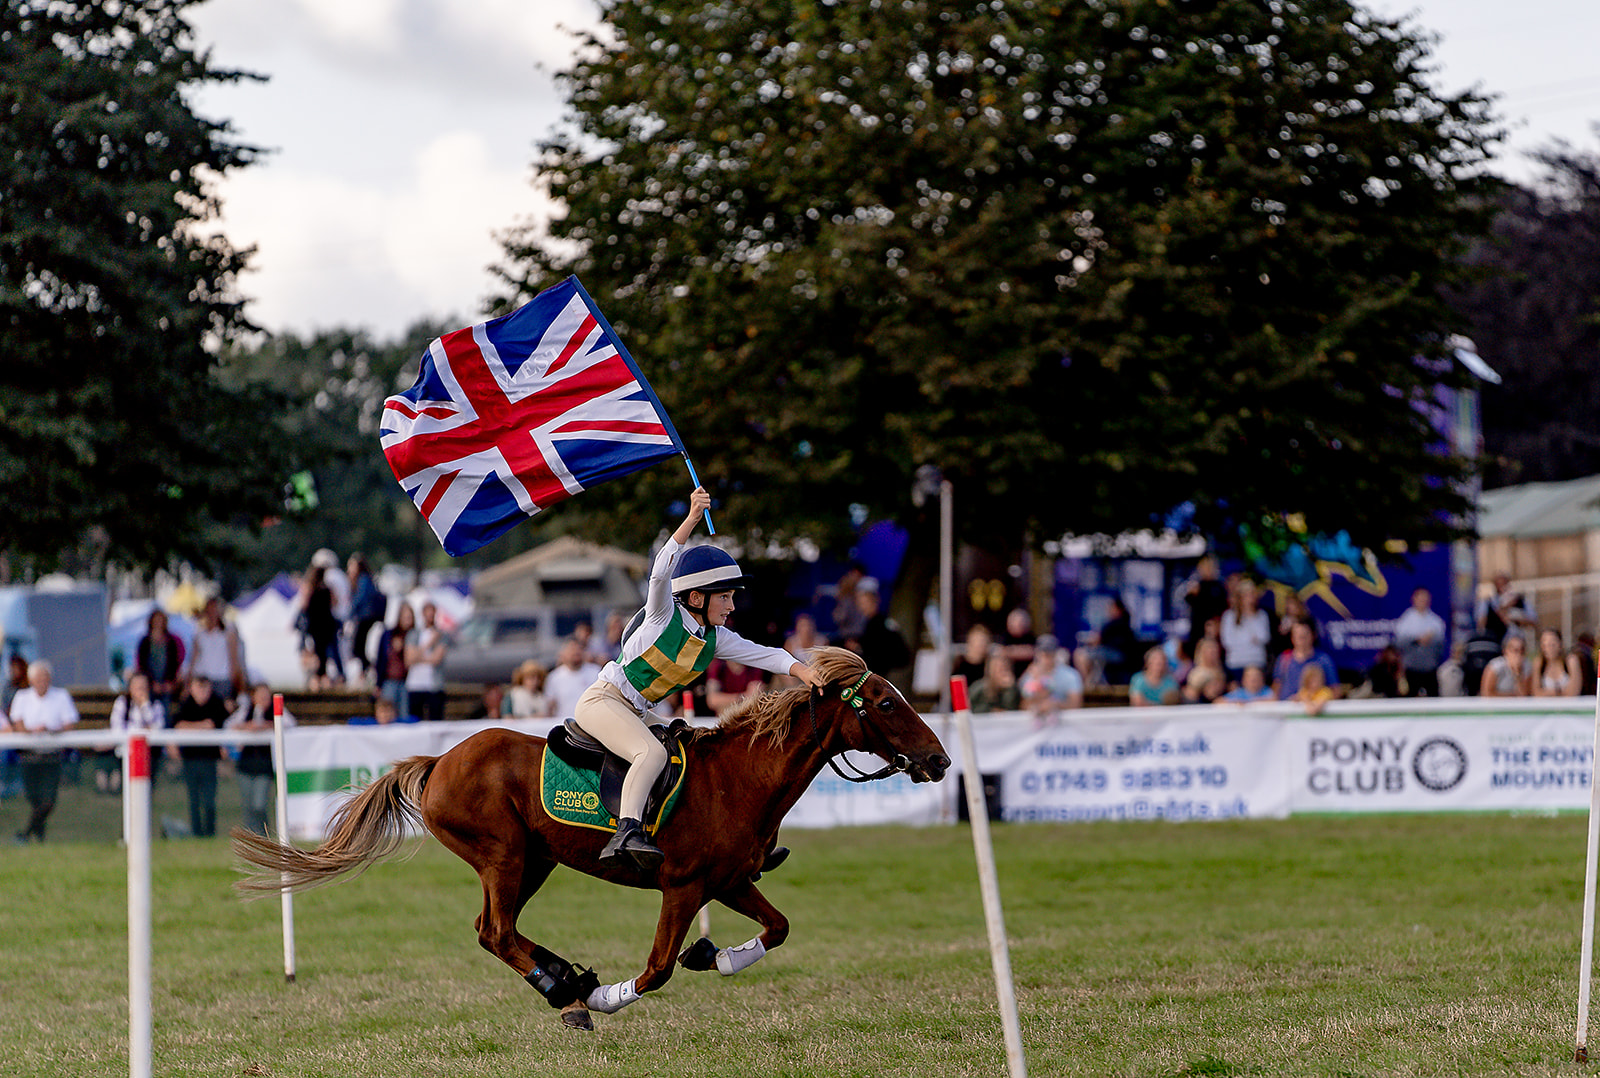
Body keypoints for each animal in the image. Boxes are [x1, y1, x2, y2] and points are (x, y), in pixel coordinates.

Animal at [232, 642, 940, 1030]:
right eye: (884, 703)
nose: (939, 761)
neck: (739, 778)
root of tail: (438, 761)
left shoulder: (730, 881)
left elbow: (778, 928)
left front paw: (714, 957)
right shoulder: (683, 887)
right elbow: (656, 970)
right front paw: (607, 995)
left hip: (534, 861)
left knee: (495, 930)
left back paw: (561, 979)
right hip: (504, 855)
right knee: (496, 931)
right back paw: (566, 988)